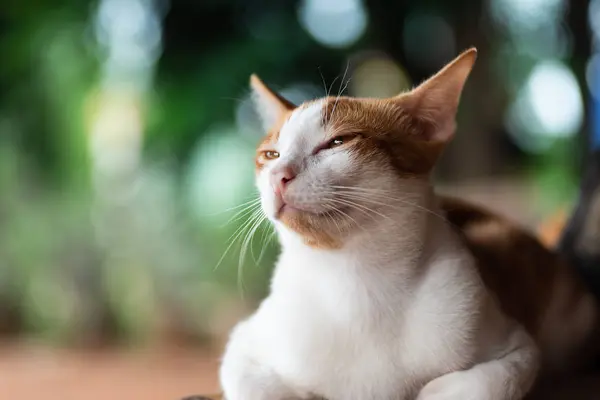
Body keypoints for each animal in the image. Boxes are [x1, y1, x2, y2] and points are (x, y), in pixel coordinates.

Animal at [217, 50, 600, 400]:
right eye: (270, 155)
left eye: (337, 142)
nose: (279, 176)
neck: (353, 280)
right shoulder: (243, 342)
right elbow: (257, 387)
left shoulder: (518, 348)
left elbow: (483, 384)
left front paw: (432, 390)